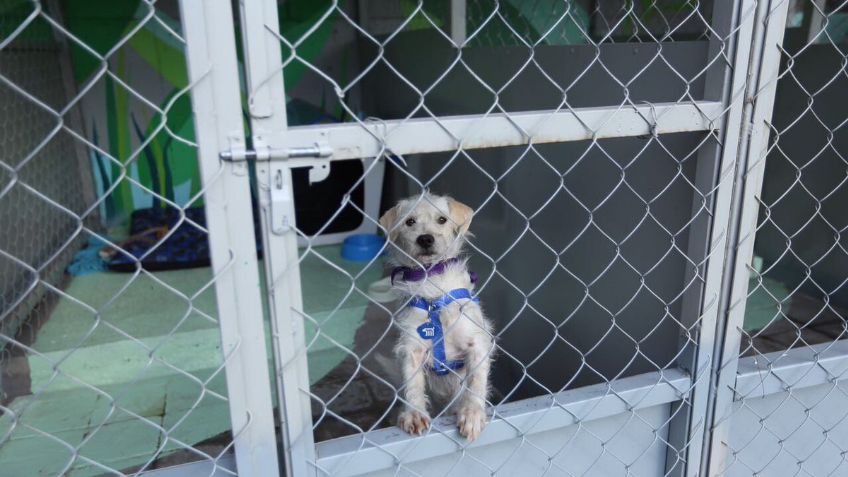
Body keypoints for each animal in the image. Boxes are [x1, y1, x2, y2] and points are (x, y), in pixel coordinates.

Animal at [380, 192, 494, 440]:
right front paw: (414, 413)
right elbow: (412, 383)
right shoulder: (411, 347)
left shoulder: (478, 342)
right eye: (409, 222)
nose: (425, 239)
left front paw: (472, 413)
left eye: (442, 219)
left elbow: (476, 381)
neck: (433, 284)